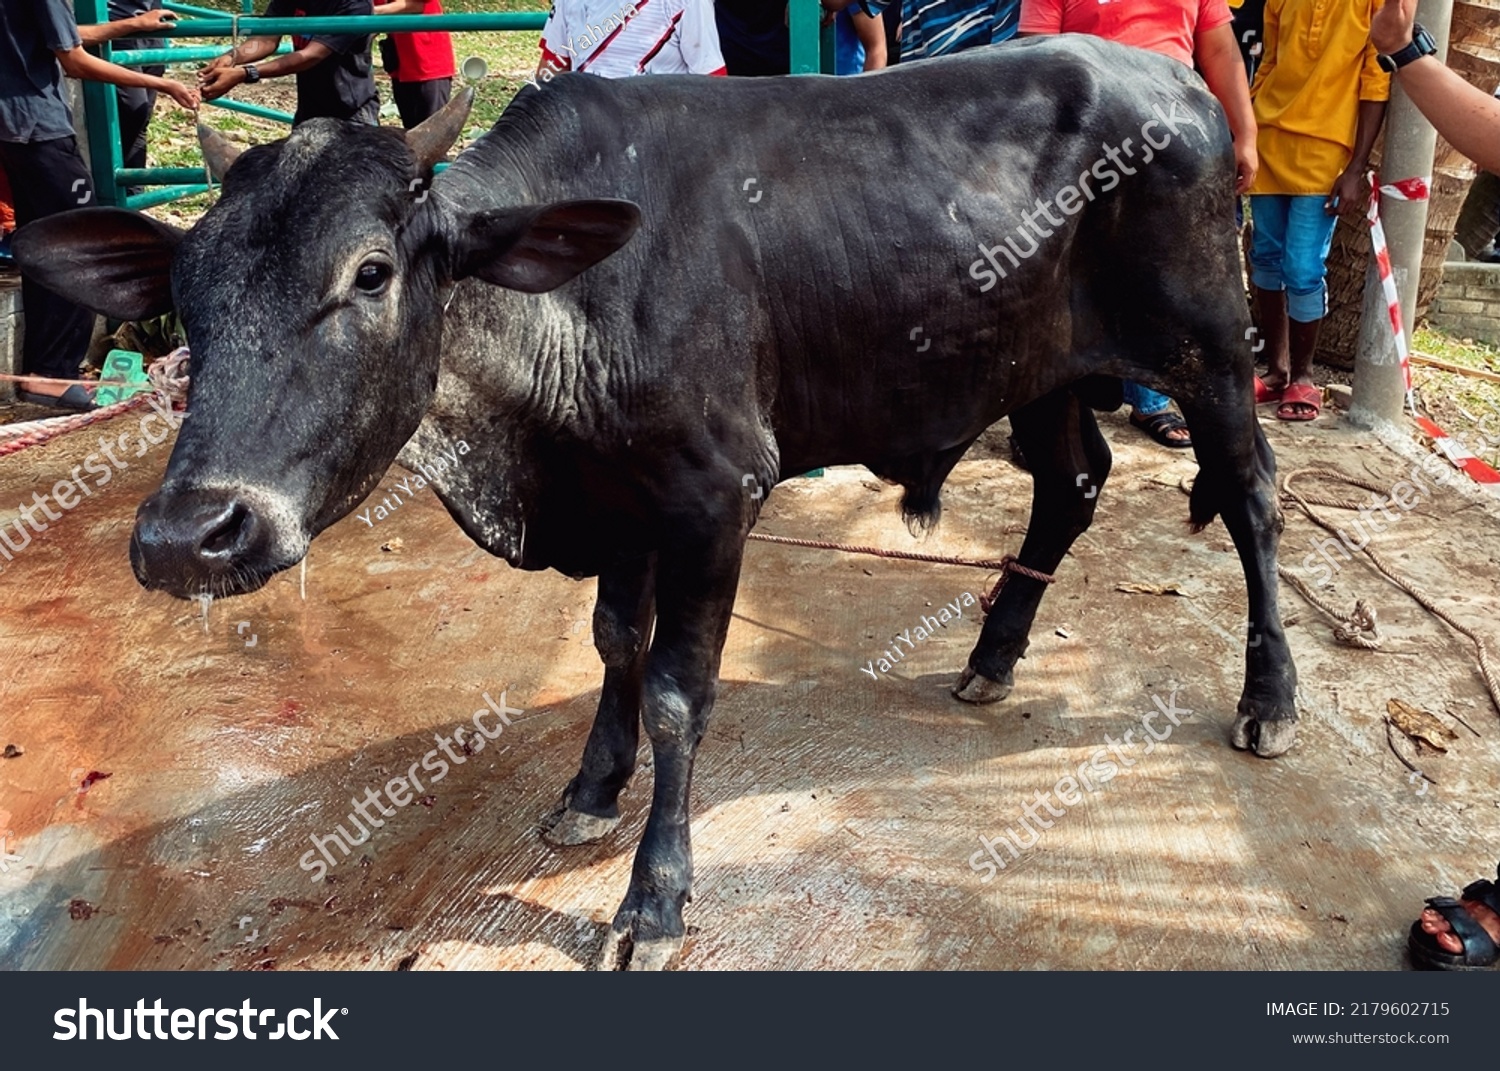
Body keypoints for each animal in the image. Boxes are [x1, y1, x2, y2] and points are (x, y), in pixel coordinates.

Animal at [14, 35, 1302, 966]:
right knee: (1072, 488)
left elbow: (682, 693)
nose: (188, 538)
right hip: (1038, 371)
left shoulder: (714, 493)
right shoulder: (621, 499)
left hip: (1210, 346)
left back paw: (1269, 699)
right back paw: (991, 656)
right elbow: (612, 646)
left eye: (370, 273)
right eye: (186, 285)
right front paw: (591, 789)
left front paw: (654, 895)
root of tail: (1174, 76)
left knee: (1250, 501)